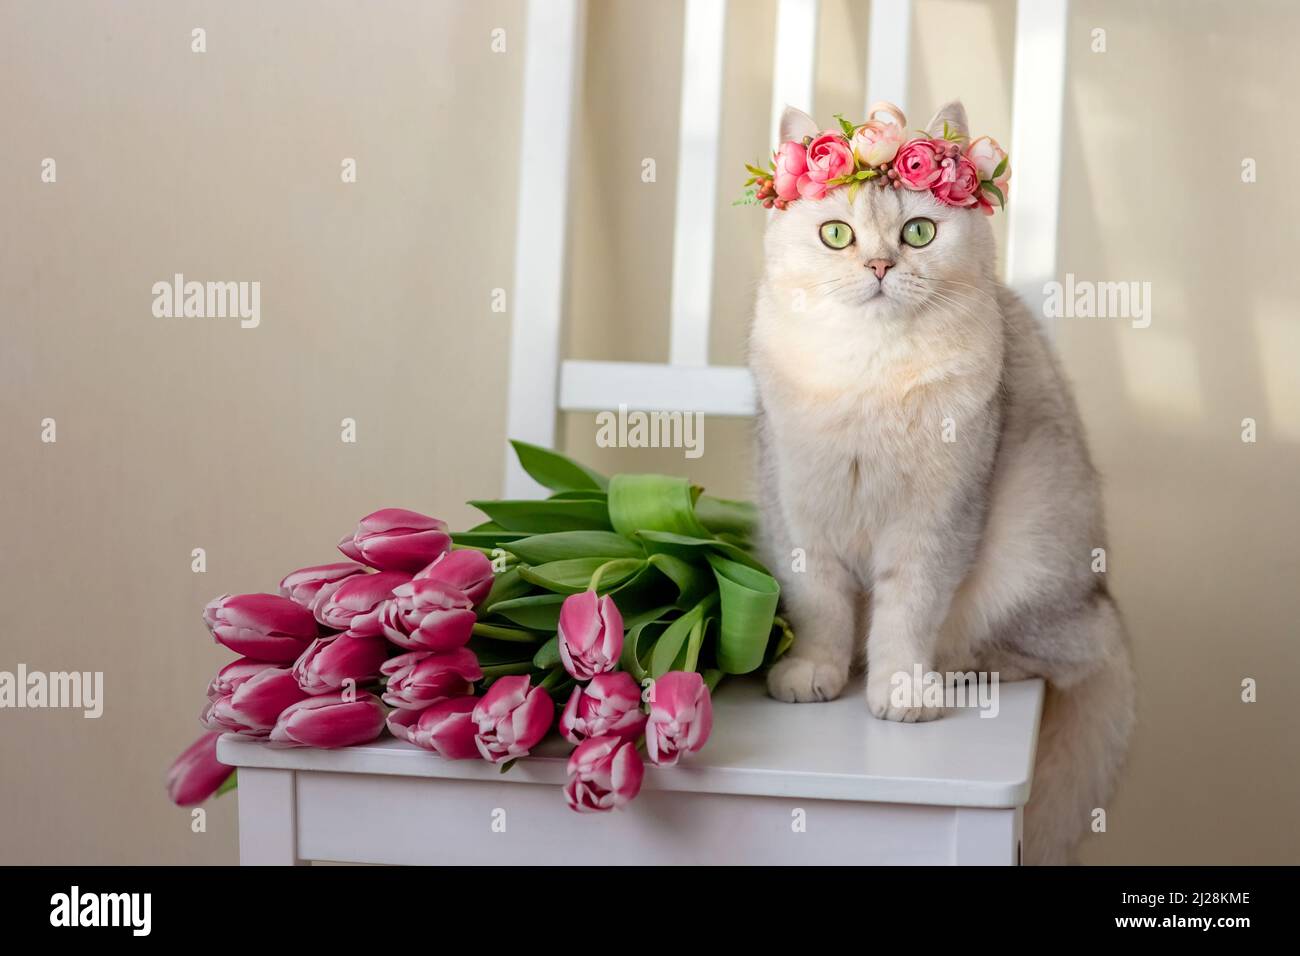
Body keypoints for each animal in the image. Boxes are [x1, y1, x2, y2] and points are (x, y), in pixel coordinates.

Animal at [759, 100, 1133, 863]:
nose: (878, 264)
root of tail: (1105, 606)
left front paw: (901, 689)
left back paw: (956, 669)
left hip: (1029, 560)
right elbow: (822, 610)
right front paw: (816, 671)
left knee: (1054, 660)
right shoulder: (800, 516)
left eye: (919, 232)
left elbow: (907, 614)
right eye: (836, 234)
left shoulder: (934, 524)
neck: (868, 373)